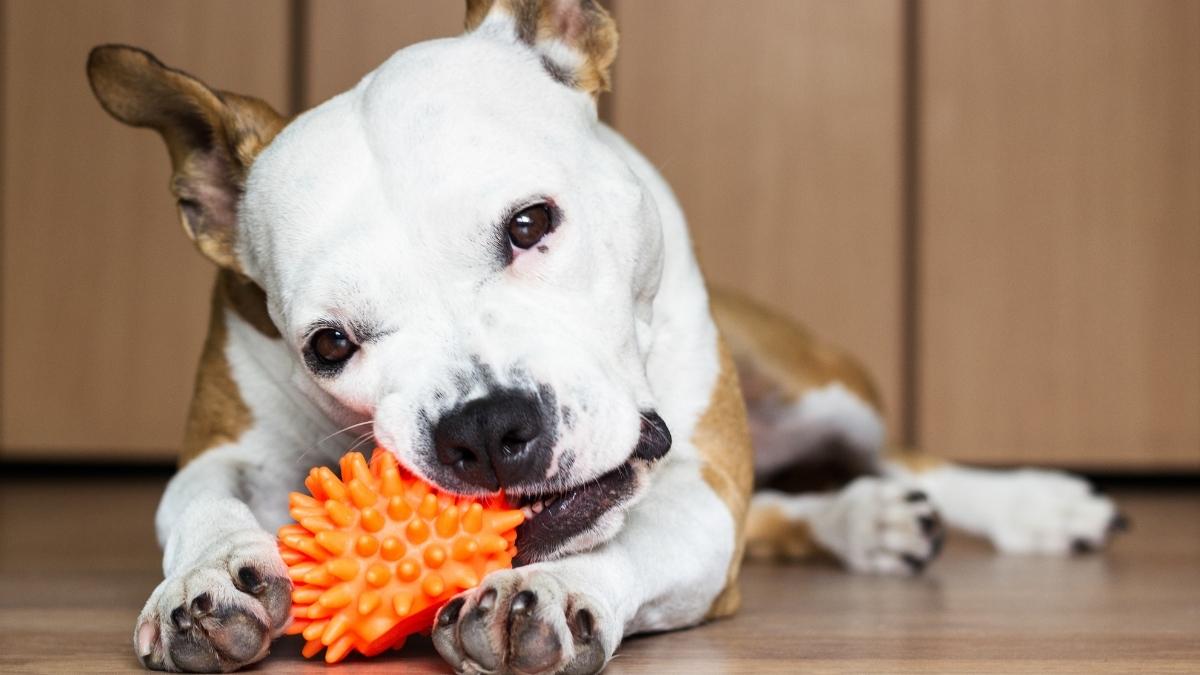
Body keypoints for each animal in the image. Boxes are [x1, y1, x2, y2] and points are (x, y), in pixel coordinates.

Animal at [84, 2, 1123, 667]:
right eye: (329, 345)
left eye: (530, 223)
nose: (486, 426)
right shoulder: (224, 443)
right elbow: (197, 500)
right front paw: (204, 581)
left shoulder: (701, 492)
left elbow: (645, 537)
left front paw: (547, 592)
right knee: (786, 508)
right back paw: (865, 520)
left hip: (822, 385)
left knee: (900, 454)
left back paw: (1037, 505)